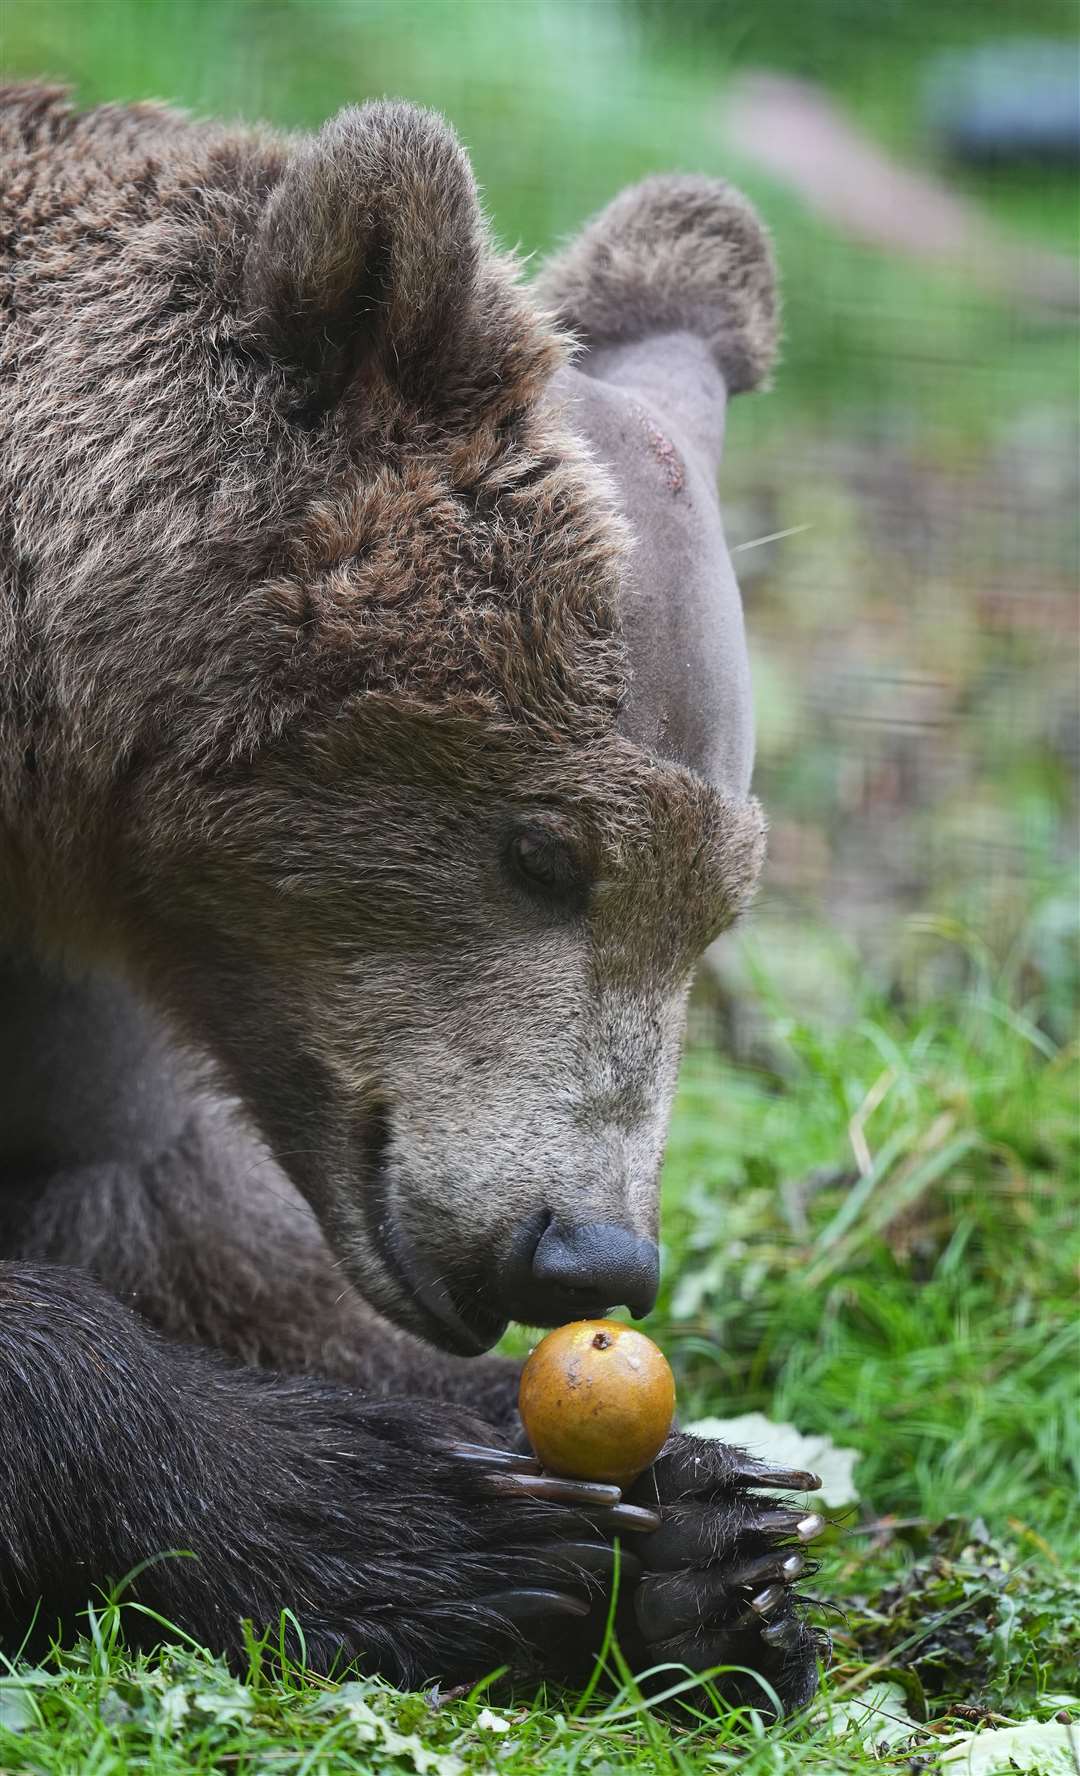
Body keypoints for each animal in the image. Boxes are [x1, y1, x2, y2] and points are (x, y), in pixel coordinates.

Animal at [2, 90, 827, 1712]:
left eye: (715, 912)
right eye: (546, 851)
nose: (589, 1252)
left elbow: (176, 1218)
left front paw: (704, 1536)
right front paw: (418, 1523)